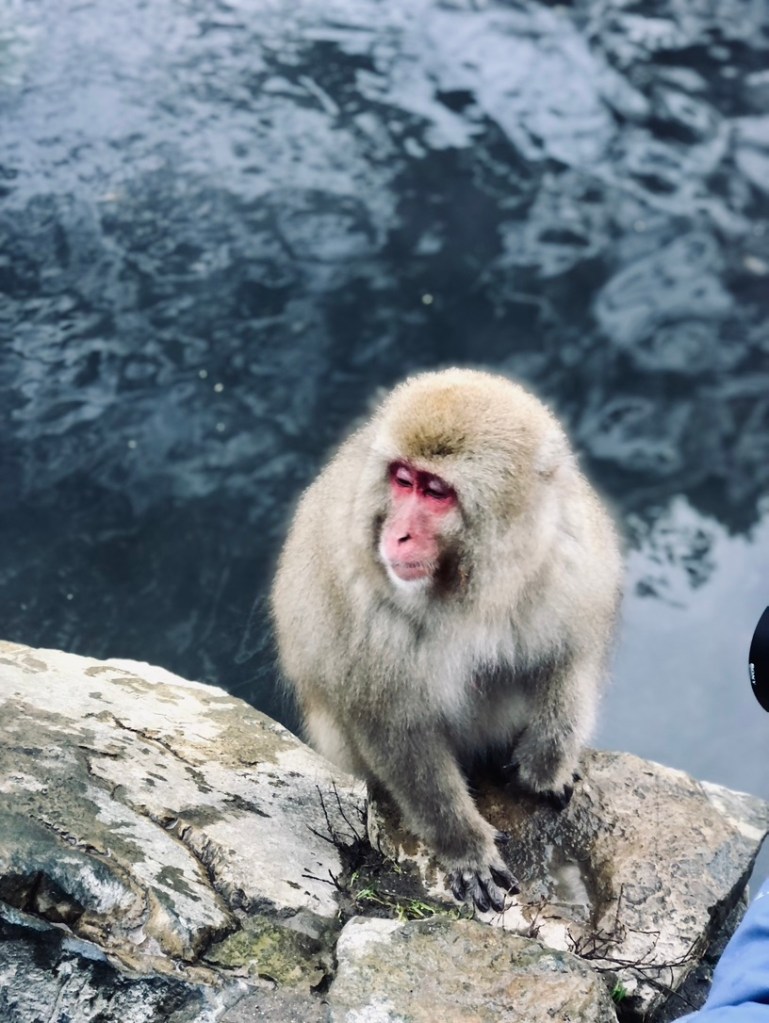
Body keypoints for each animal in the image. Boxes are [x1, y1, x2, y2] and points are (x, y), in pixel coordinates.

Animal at [271, 368, 622, 913]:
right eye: (403, 480)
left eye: (436, 491)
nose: (396, 535)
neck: (472, 584)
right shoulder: (368, 610)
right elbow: (393, 725)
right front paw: (465, 848)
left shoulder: (568, 552)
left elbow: (569, 653)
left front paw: (548, 762)